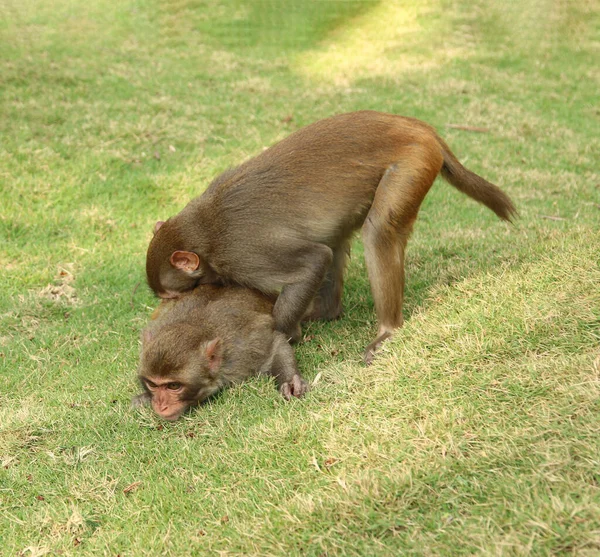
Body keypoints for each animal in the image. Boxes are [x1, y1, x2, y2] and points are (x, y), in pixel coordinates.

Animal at [133, 284, 308, 420]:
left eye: (173, 386)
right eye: (152, 384)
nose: (161, 405)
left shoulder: (243, 353)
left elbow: (275, 343)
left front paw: (289, 382)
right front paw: (144, 398)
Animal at [145, 112, 516, 364]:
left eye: (171, 296)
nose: (168, 305)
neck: (204, 230)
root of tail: (417, 127)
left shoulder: (243, 255)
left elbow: (313, 260)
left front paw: (283, 334)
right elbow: (323, 254)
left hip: (413, 162)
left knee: (377, 231)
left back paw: (387, 329)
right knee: (336, 238)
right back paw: (325, 311)